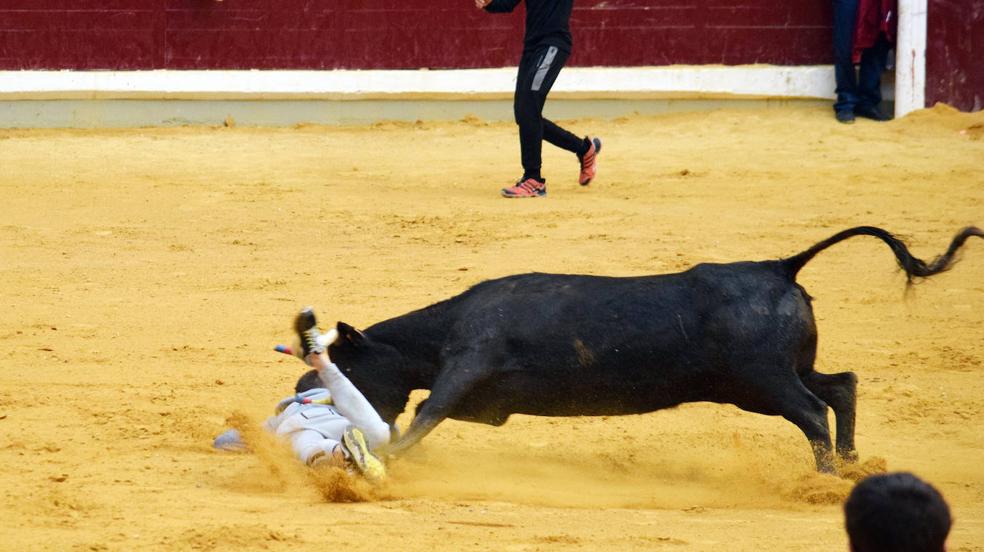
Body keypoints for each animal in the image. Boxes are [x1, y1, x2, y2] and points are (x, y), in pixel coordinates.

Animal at [320, 226, 980, 472]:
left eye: (346, 362)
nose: (307, 389)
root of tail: (779, 266)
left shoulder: (467, 364)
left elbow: (427, 411)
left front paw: (381, 460)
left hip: (764, 382)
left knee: (814, 412)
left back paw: (822, 480)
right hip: (773, 377)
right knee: (841, 385)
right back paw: (850, 466)